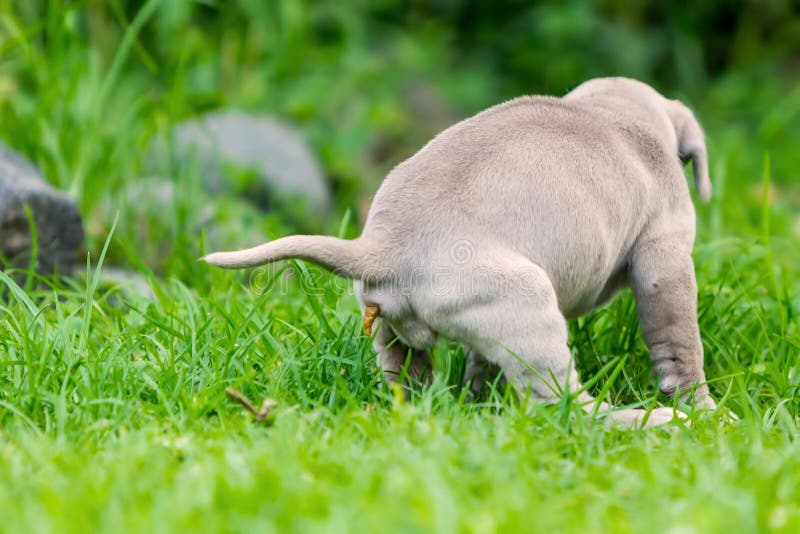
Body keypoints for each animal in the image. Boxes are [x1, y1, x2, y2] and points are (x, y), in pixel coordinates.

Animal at [203, 77, 716, 430]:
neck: (613, 113)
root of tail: (381, 245)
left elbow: (479, 362)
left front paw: (479, 394)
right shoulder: (665, 255)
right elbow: (679, 341)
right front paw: (702, 407)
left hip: (406, 328)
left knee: (409, 380)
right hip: (527, 299)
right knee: (560, 405)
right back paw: (654, 423)